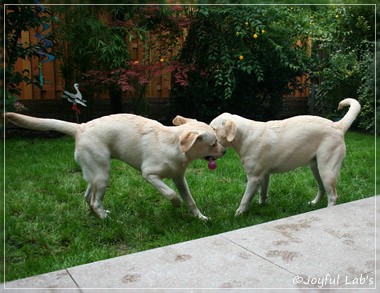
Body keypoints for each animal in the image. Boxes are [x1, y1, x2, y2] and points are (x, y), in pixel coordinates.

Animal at [5, 112, 226, 219]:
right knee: (95, 200)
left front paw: (200, 217)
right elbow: (171, 193)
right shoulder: (149, 174)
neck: (174, 145)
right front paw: (176, 204)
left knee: (88, 197)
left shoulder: (180, 178)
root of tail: (80, 127)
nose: (224, 151)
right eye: (214, 142)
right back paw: (106, 219)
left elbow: (190, 200)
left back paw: (99, 215)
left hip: (94, 173)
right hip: (102, 174)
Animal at [209, 98, 360, 214]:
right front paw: (262, 205)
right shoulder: (264, 175)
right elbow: (262, 192)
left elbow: (245, 199)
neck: (244, 135)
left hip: (327, 169)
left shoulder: (254, 178)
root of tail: (338, 126)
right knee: (322, 189)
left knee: (333, 195)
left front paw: (238, 214)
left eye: (214, 129)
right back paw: (314, 204)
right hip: (316, 167)